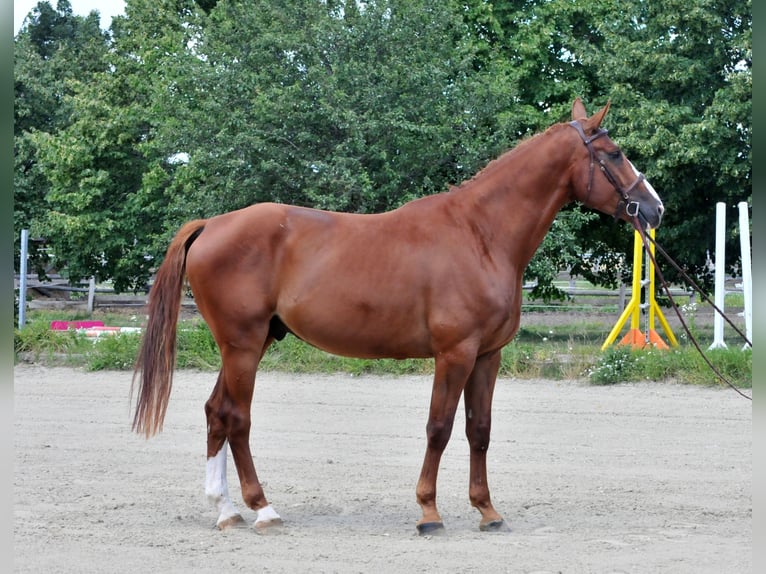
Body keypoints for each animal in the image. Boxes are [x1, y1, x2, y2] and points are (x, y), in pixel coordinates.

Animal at [132, 98, 664, 536]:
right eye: (615, 153)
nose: (654, 208)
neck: (480, 234)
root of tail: (211, 226)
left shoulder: (487, 355)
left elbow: (479, 430)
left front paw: (487, 511)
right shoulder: (455, 354)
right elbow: (439, 428)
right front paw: (429, 512)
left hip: (251, 343)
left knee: (216, 413)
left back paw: (225, 511)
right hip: (242, 345)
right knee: (237, 419)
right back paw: (262, 509)